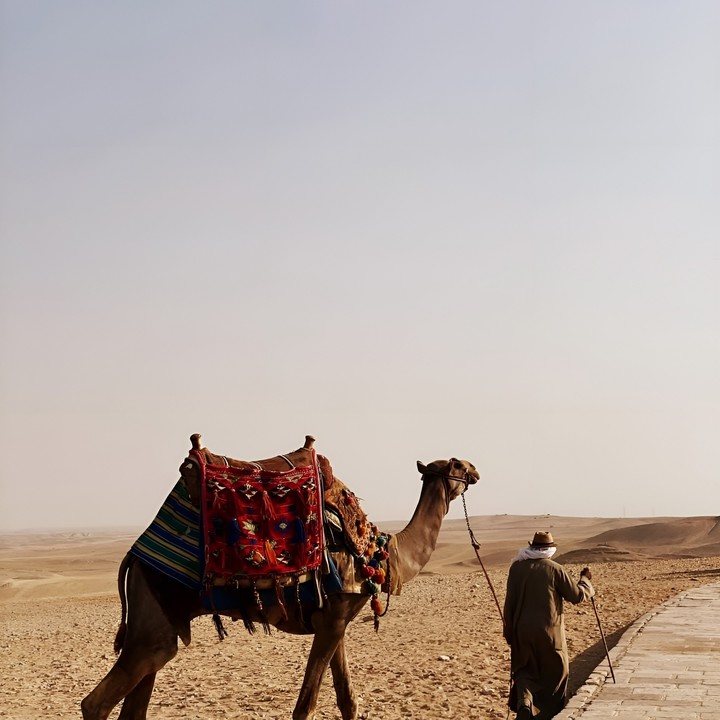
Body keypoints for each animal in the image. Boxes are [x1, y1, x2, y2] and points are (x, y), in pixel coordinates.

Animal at [81, 435, 479, 720]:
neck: (379, 552)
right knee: (96, 703)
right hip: (156, 612)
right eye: (458, 464)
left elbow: (347, 700)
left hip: (157, 620)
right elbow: (306, 705)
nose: (476, 469)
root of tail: (134, 557)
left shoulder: (334, 619)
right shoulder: (334, 619)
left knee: (137, 698)